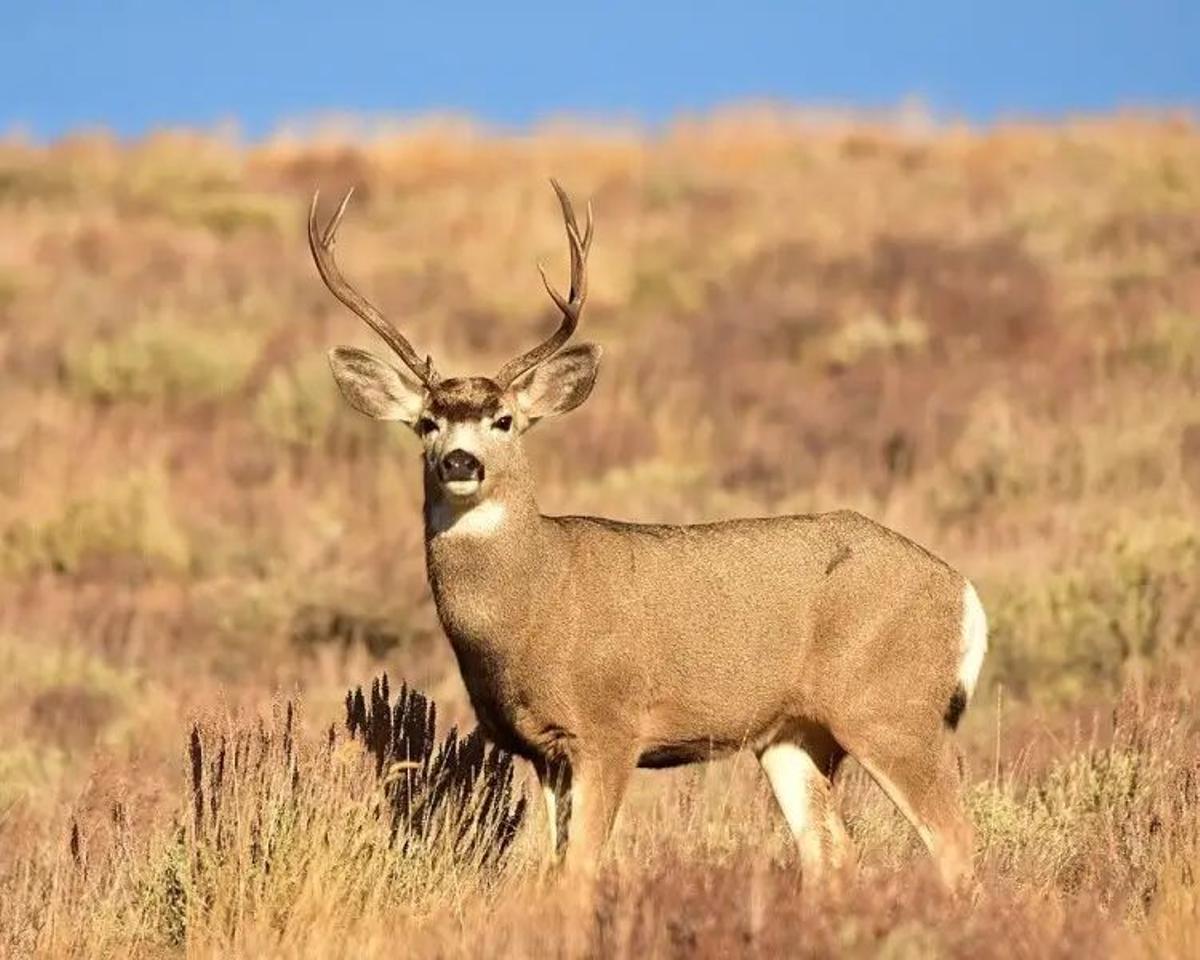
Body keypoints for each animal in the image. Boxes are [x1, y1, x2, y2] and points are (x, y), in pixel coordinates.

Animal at [308, 181, 989, 888]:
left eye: (504, 420)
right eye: (426, 423)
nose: (460, 463)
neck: (535, 601)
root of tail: (962, 590)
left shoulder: (610, 726)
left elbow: (579, 869)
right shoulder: (543, 749)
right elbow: (554, 865)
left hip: (890, 708)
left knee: (955, 843)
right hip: (794, 735)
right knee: (832, 852)